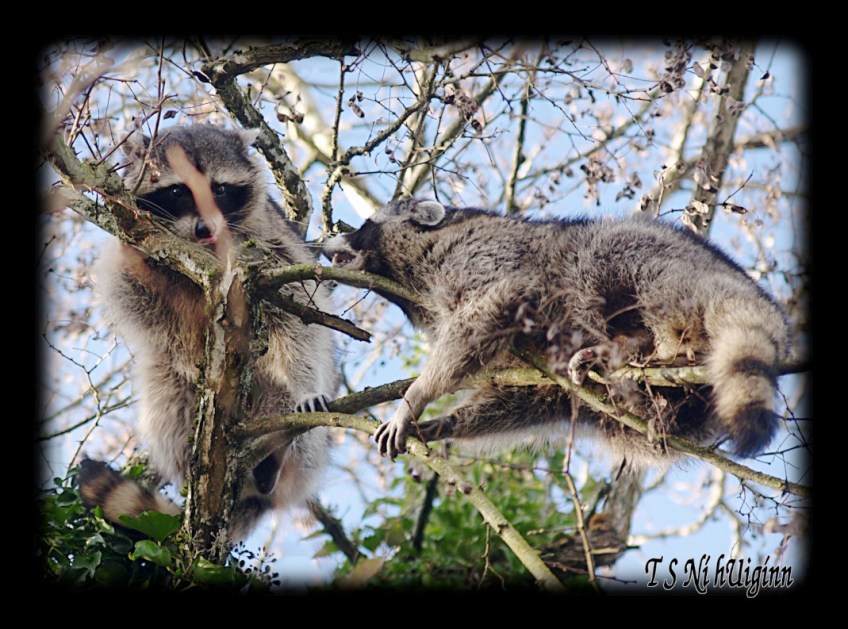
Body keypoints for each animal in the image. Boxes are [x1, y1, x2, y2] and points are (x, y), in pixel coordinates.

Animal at [79, 125, 338, 539]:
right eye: (177, 191)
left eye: (219, 188)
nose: (204, 228)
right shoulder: (133, 249)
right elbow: (137, 300)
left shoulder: (271, 248)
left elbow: (299, 324)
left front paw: (304, 384)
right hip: (170, 391)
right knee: (166, 390)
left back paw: (271, 460)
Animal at [325, 199, 790, 467]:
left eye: (363, 224)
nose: (328, 239)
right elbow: (519, 397)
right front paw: (445, 422)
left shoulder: (486, 255)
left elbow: (489, 308)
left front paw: (415, 397)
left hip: (668, 267)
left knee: (605, 254)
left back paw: (642, 345)